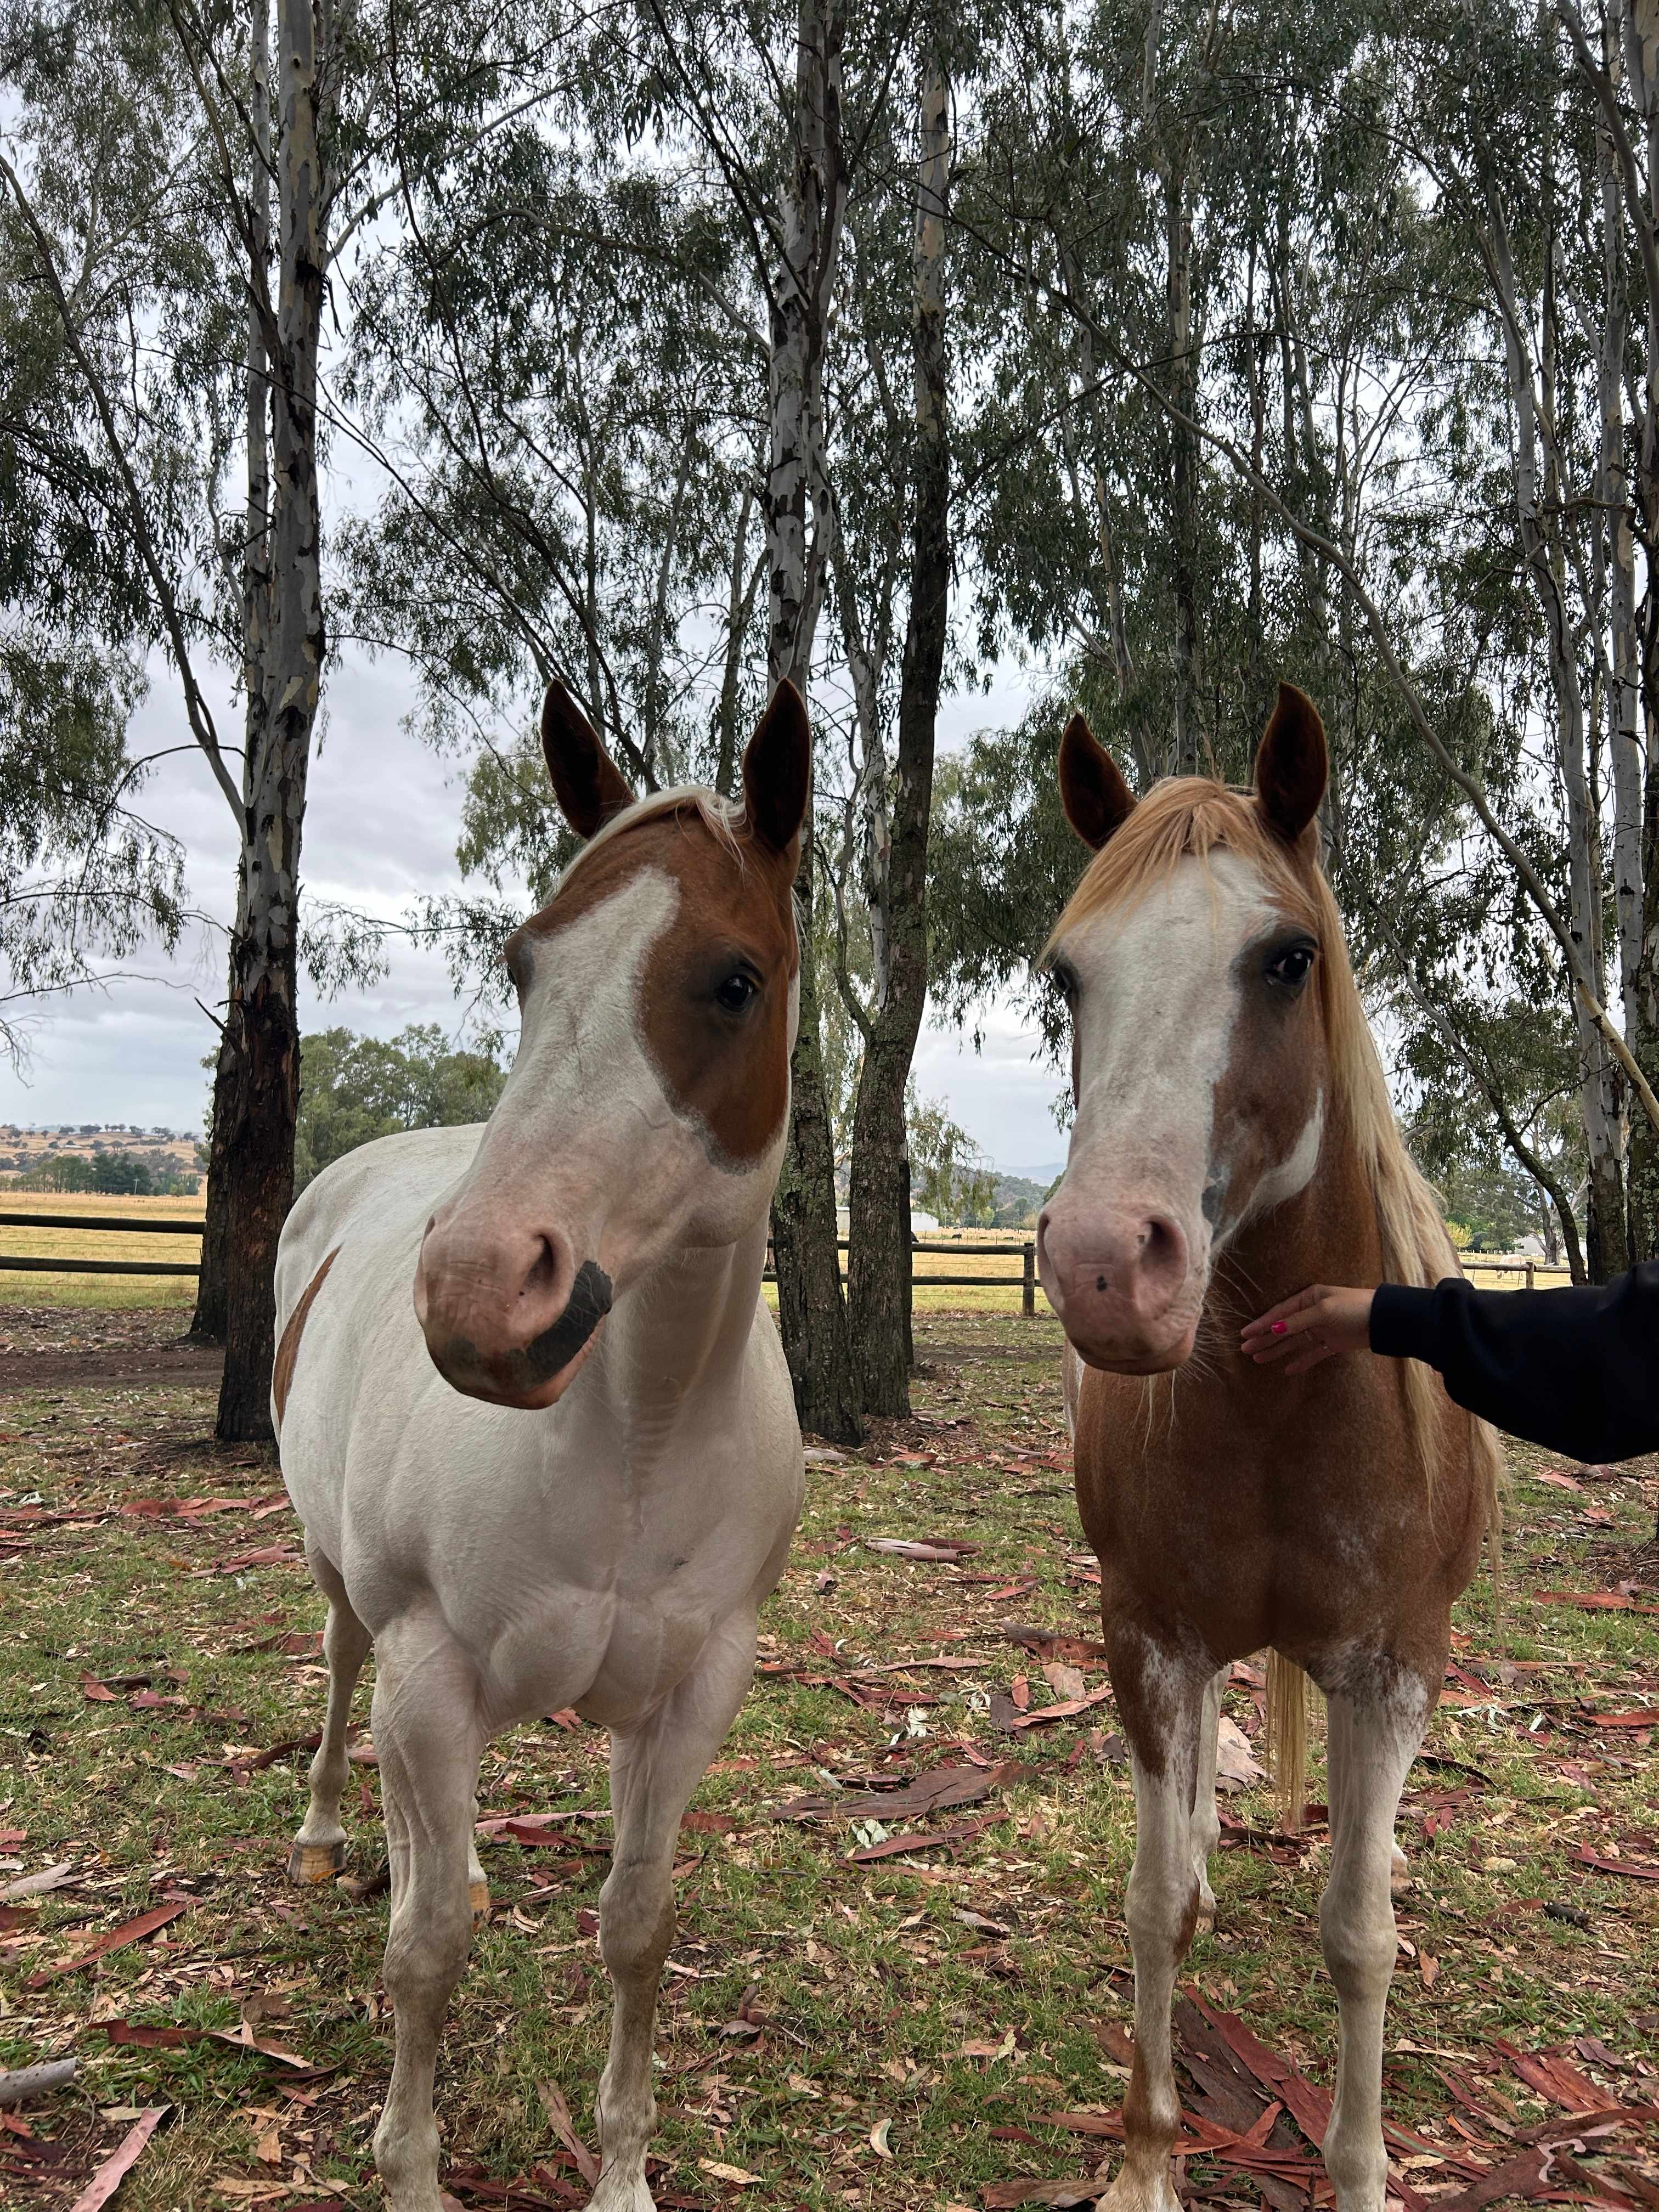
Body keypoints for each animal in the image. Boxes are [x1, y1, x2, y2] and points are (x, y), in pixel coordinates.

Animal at [270, 680, 811, 2212]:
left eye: (734, 978)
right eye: (523, 965)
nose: (478, 1298)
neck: (631, 1443)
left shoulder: (692, 1698)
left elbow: (635, 1929)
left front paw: (622, 2172)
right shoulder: (431, 1671)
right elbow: (427, 1960)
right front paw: (407, 2172)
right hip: (356, 1607)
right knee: (344, 1693)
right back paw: (332, 1835)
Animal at [1036, 684, 1501, 2212]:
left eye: (1288, 958)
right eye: (1068, 976)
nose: (1107, 1268)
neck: (1289, 1415)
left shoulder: (1394, 1669)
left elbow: (1358, 1931)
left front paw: (1358, 2173)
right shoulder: (1147, 1641)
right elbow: (1151, 1905)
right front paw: (1145, 2161)